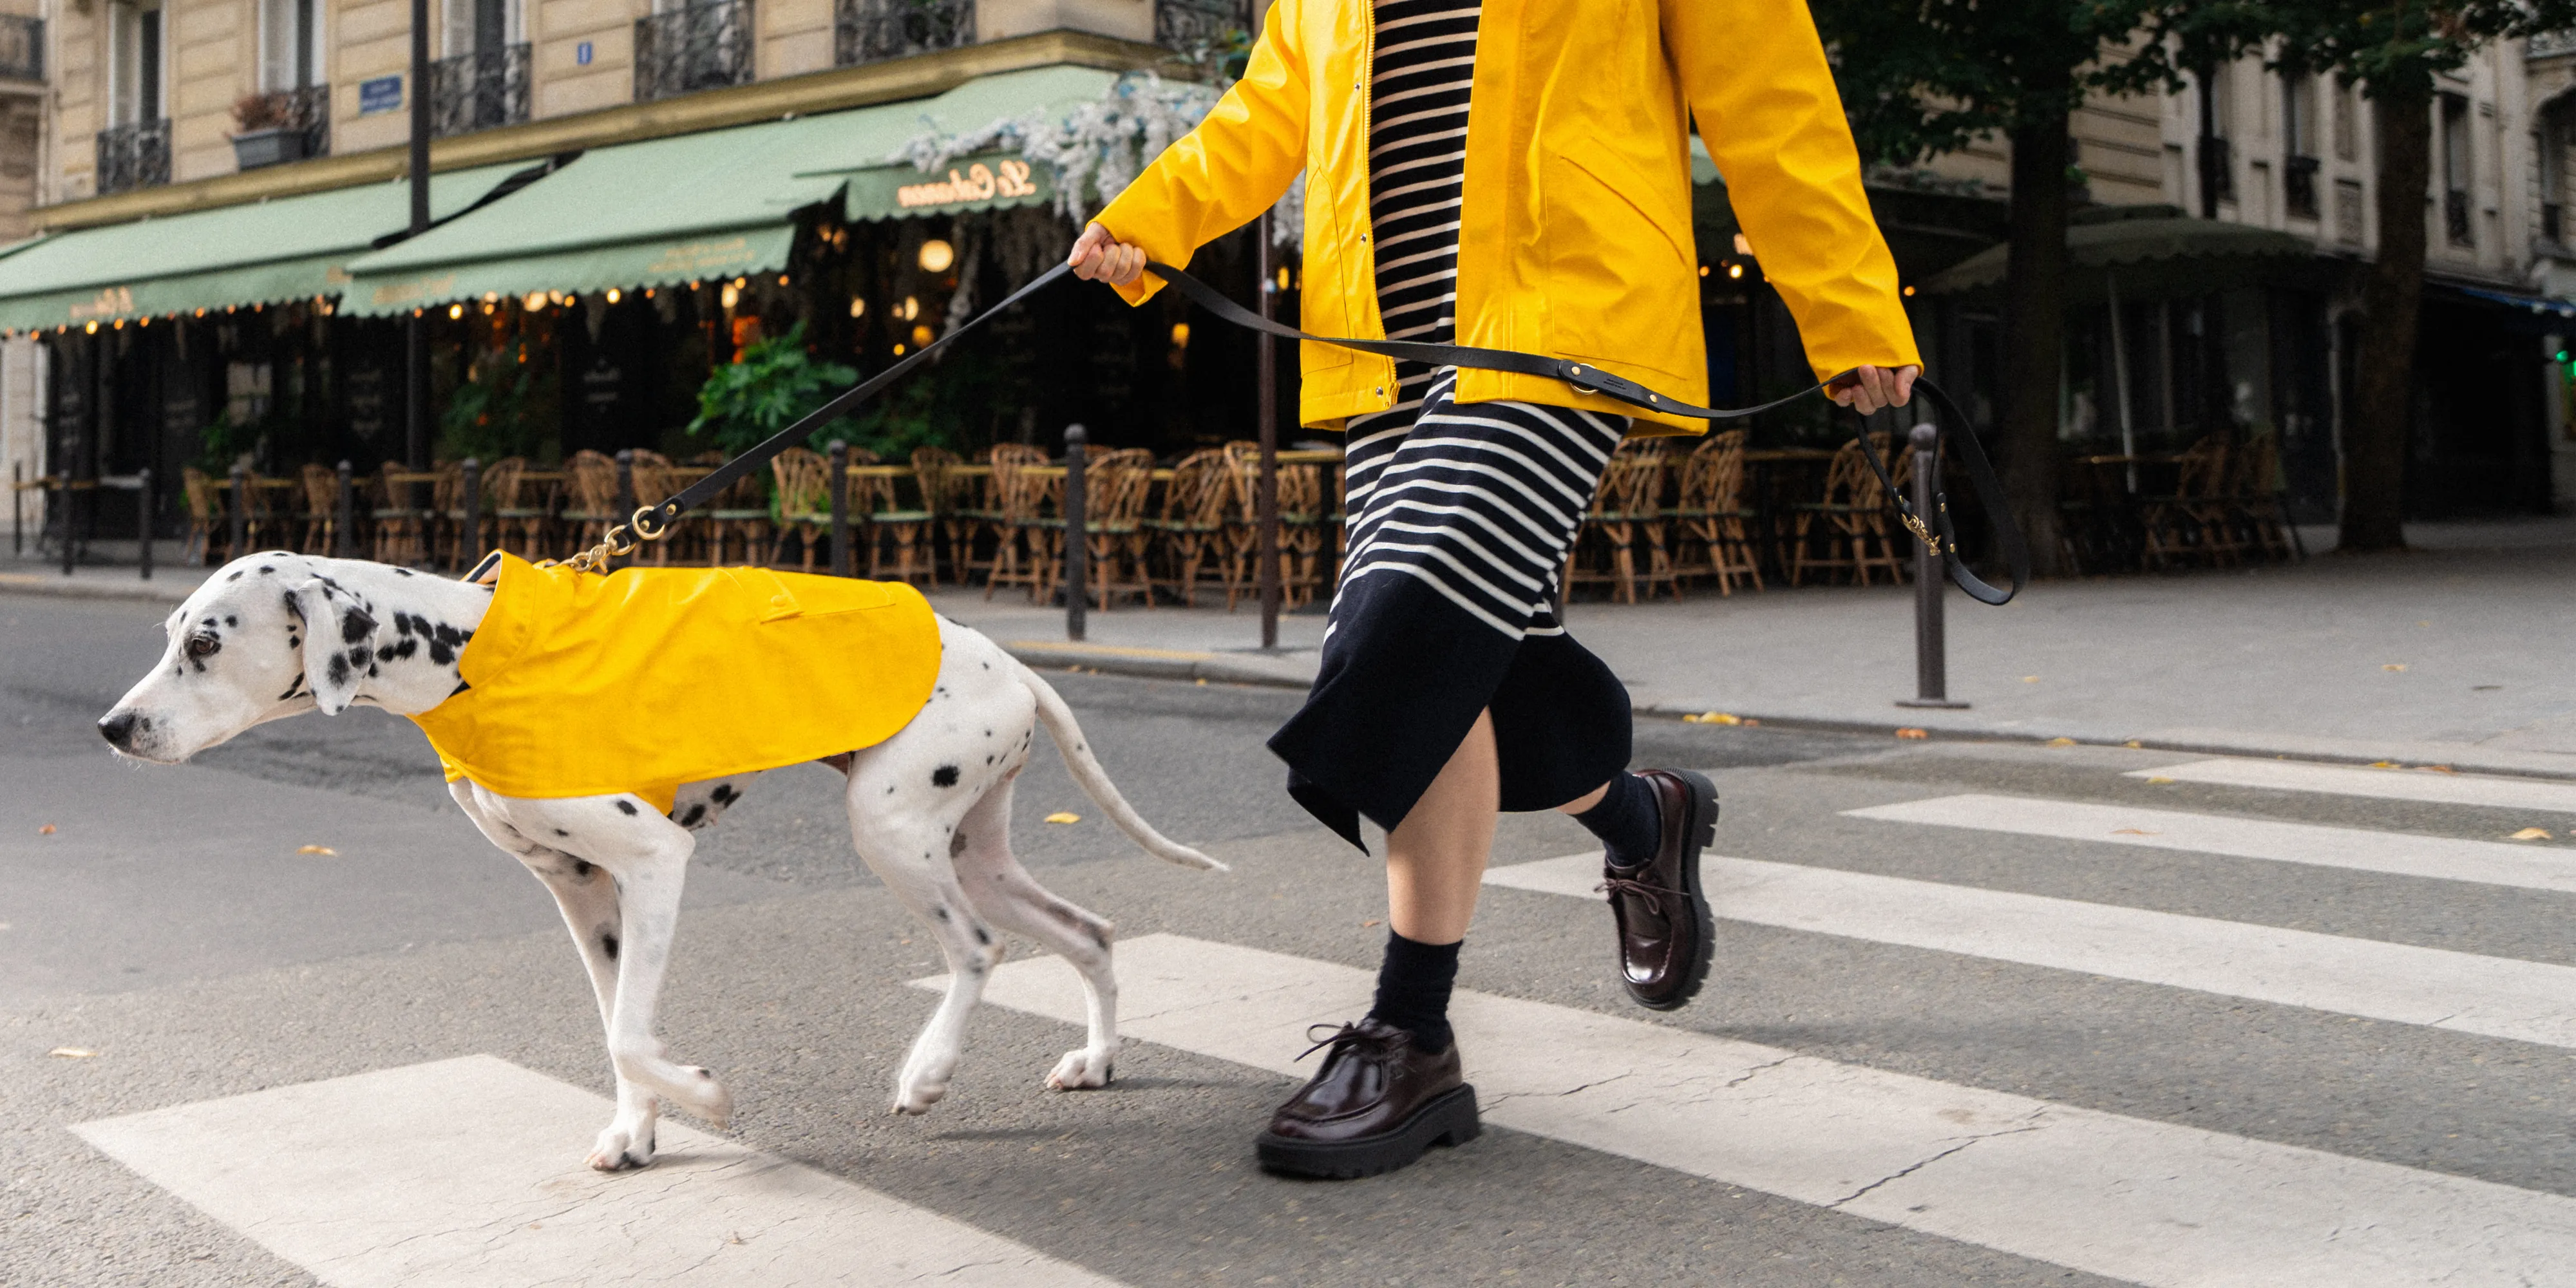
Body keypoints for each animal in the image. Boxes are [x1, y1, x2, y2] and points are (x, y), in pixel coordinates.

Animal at [95, 549, 1221, 1175]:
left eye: (205, 644)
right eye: (170, 634)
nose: (112, 728)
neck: (465, 655)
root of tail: (1013, 659)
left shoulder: (655, 861)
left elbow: (634, 1034)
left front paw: (707, 1102)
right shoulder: (581, 895)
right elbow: (614, 1031)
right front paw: (639, 1132)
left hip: (893, 832)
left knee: (979, 950)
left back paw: (930, 1071)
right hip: (972, 849)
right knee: (1090, 933)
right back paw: (1096, 1059)